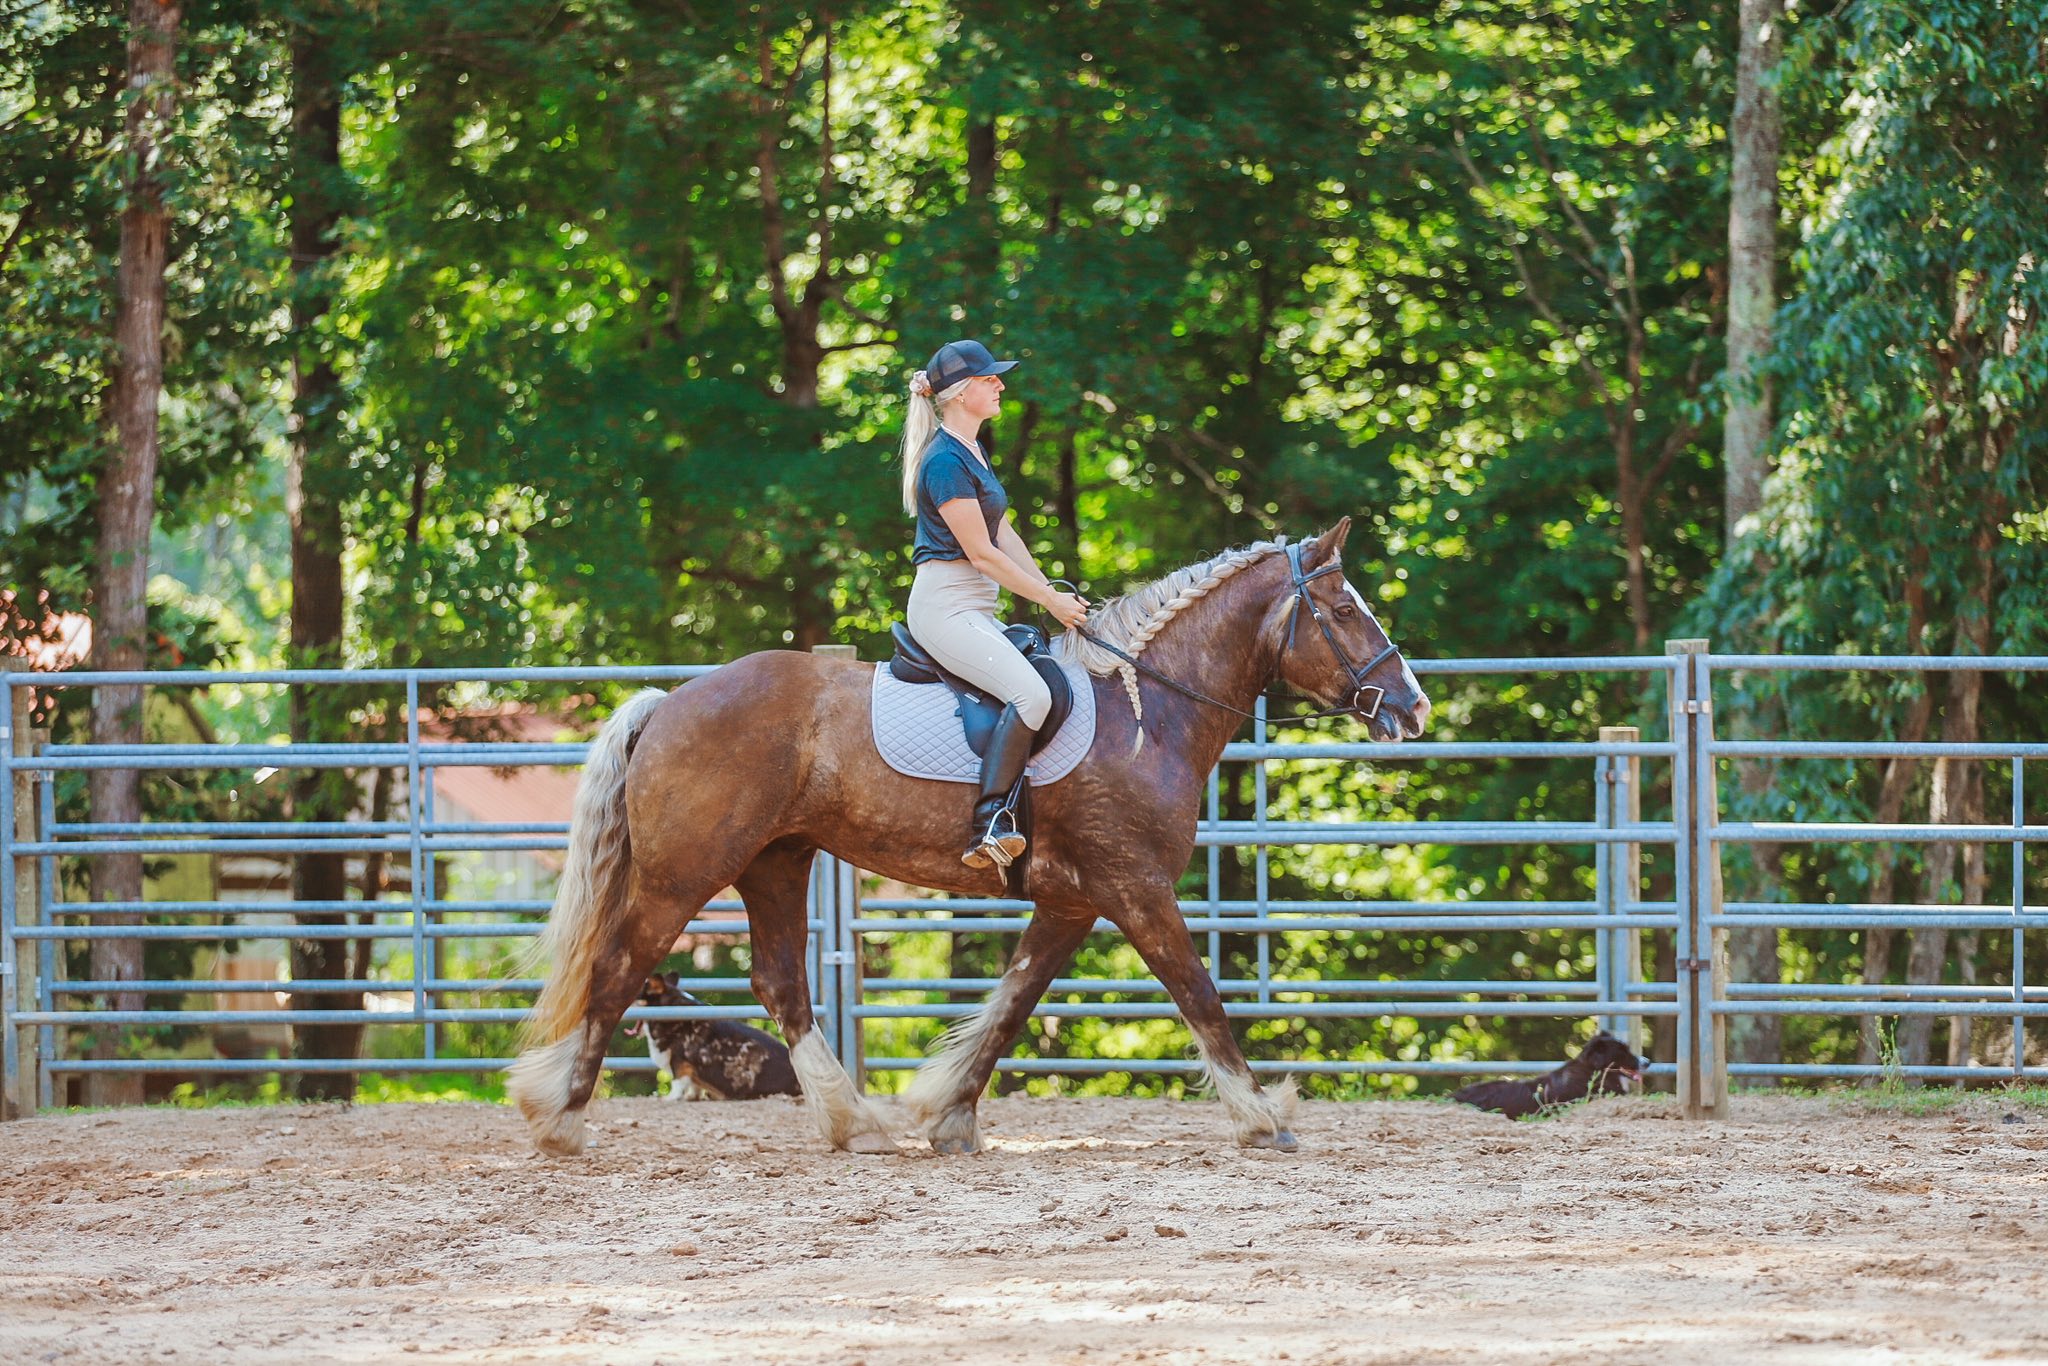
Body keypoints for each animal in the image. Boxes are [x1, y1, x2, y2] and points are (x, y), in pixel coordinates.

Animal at [507, 517, 1430, 1157]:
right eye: (1342, 609)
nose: (1413, 707)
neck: (1146, 713)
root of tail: (670, 700)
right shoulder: (1136, 889)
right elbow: (1199, 996)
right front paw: (1262, 1116)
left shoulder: (1072, 902)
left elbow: (1011, 1005)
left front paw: (948, 1114)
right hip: (685, 872)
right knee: (621, 968)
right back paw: (561, 1122)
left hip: (775, 862)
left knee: (781, 983)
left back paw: (854, 1122)